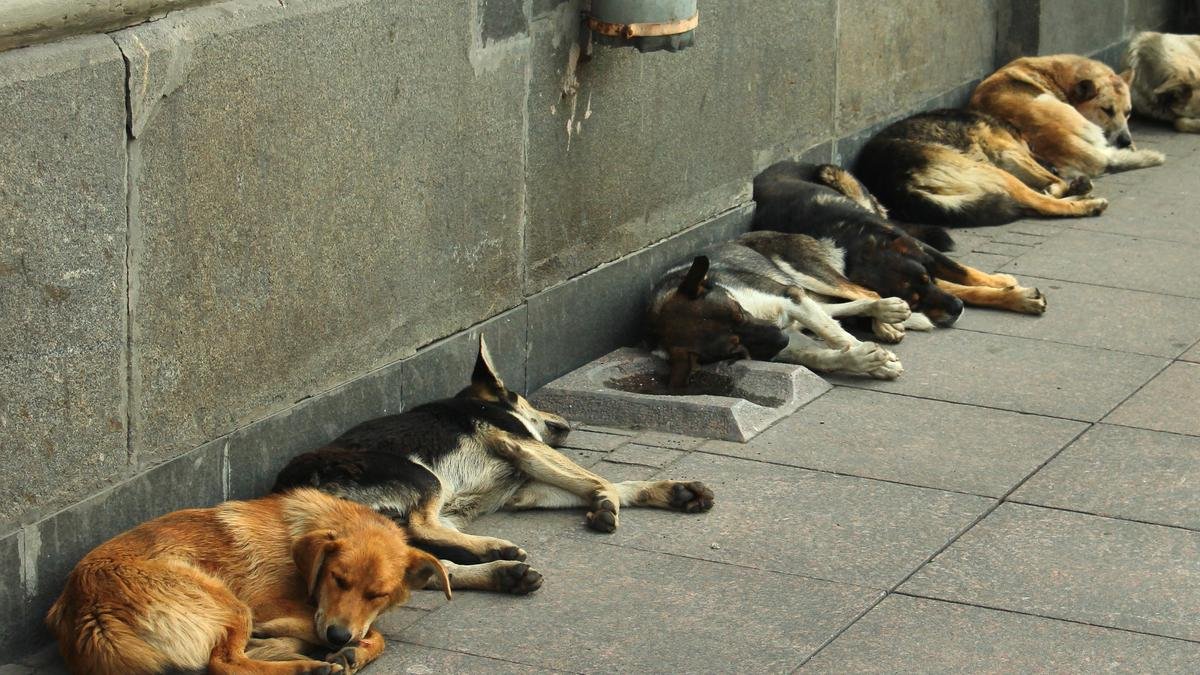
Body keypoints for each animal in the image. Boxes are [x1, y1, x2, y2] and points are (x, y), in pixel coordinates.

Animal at [46, 488, 450, 675]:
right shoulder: (271, 606)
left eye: (377, 594)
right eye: (337, 579)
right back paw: (306, 666)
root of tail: (88, 606)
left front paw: (352, 650)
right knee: (223, 663)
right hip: (227, 600)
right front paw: (349, 647)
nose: (337, 637)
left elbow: (368, 630)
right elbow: (373, 632)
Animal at [274, 337, 714, 587]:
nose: (566, 423)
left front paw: (672, 491)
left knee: (431, 568)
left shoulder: (525, 486)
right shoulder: (519, 442)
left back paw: (499, 572)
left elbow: (606, 483)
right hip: (423, 477)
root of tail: (289, 488)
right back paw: (492, 548)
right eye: (523, 396)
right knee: (422, 526)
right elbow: (599, 480)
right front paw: (607, 505)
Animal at [647, 229, 923, 388]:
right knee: (832, 311)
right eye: (735, 349)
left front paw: (884, 361)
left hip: (806, 276)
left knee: (865, 293)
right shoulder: (783, 338)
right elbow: (822, 355)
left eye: (739, 312)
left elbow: (834, 334)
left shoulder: (789, 297)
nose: (780, 337)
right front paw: (867, 361)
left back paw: (887, 318)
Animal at [753, 161, 1047, 323]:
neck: (854, 241)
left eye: (927, 279)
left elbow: (964, 273)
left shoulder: (921, 253)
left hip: (834, 174)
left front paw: (1001, 285)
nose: (957, 309)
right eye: (913, 302)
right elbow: (961, 288)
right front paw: (1012, 296)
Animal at [855, 109, 1109, 226]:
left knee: (1031, 203)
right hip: (995, 173)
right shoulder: (1007, 150)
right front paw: (1062, 184)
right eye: (1031, 145)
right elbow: (1050, 182)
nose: (1055, 168)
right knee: (1041, 203)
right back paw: (1088, 204)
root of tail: (896, 185)